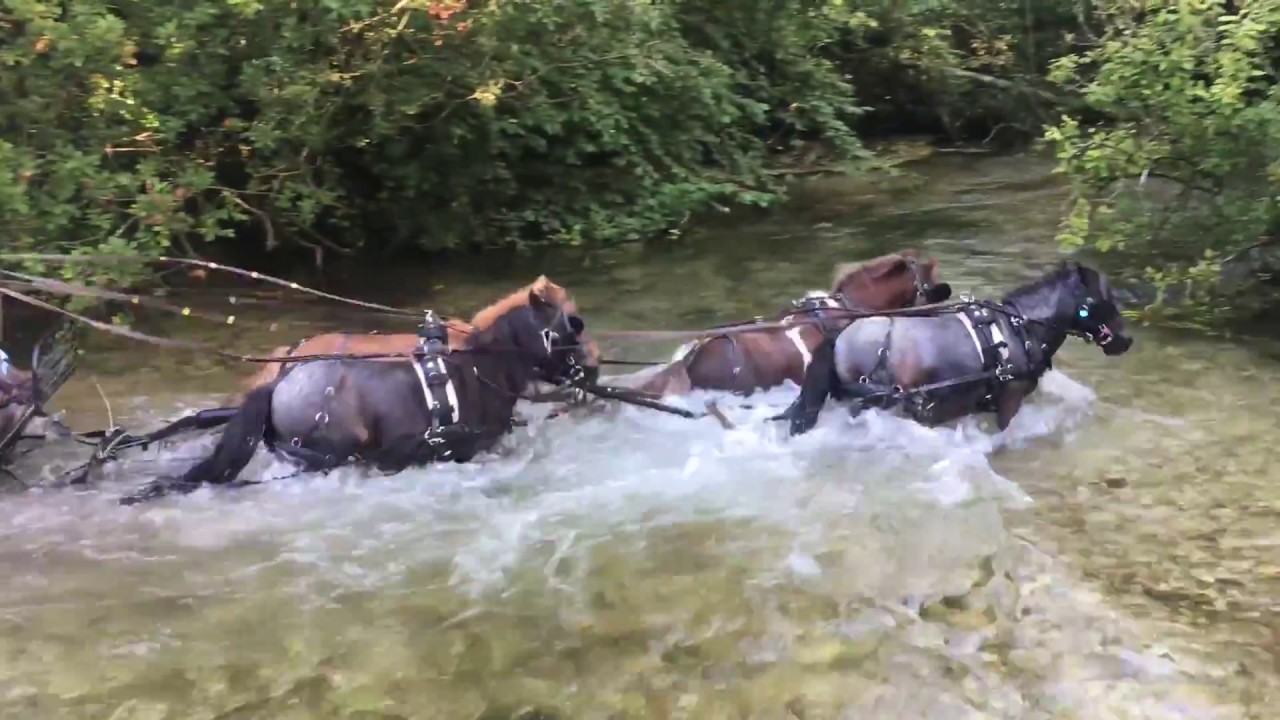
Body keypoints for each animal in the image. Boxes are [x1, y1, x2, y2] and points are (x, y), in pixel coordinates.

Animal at [120, 278, 593, 502]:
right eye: (574, 323)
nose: (593, 365)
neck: (480, 363)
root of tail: (280, 379)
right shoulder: (472, 447)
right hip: (327, 453)